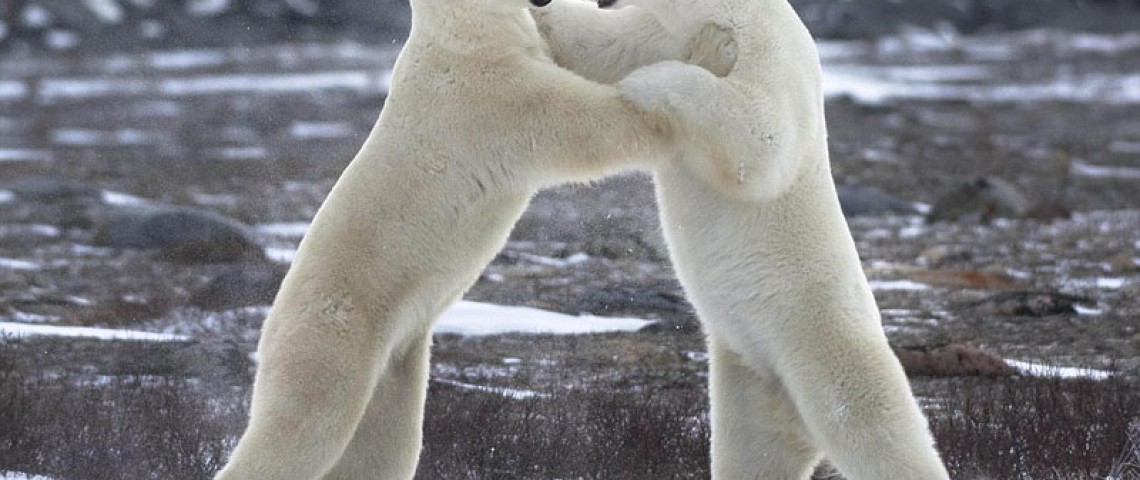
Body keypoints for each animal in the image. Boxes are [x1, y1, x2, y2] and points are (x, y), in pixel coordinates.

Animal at [533, 0, 953, 478]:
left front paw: (648, 82)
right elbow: (601, 44)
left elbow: (761, 131)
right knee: (753, 451)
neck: (726, 15)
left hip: (824, 341)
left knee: (874, 427)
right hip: (748, 375)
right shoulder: (664, 34)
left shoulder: (773, 53)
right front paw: (540, 16)